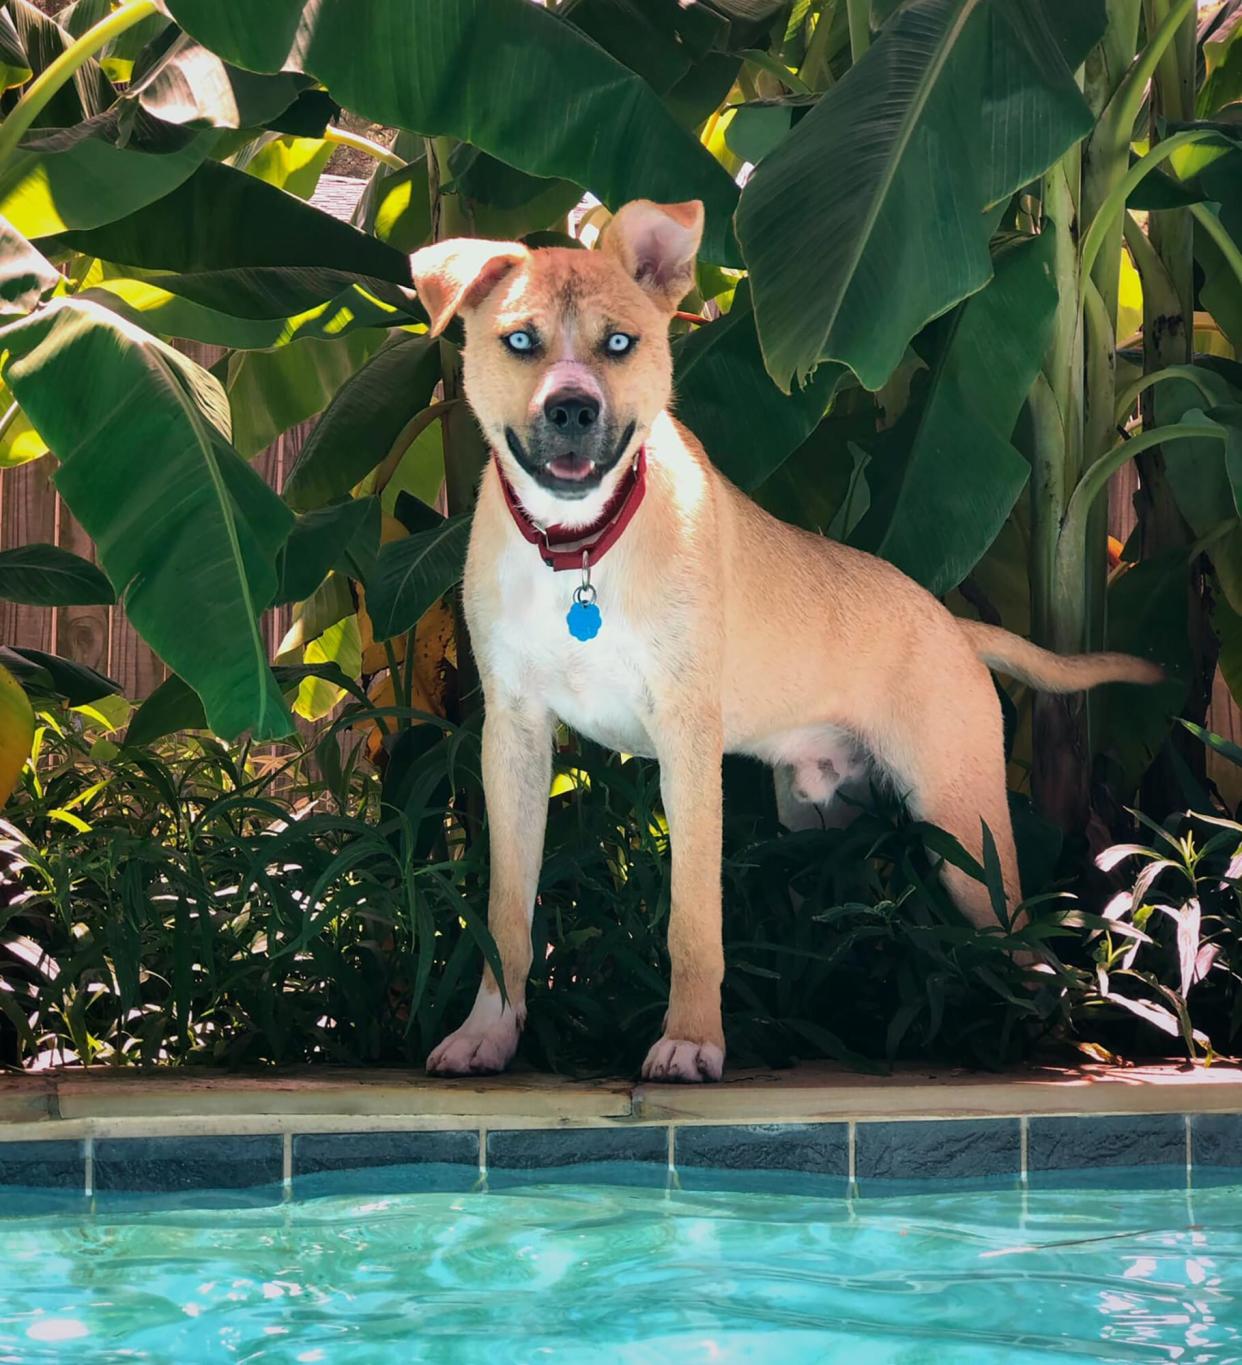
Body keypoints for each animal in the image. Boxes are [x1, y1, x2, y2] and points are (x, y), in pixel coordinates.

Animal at [412, 199, 1168, 1086]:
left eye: (620, 343)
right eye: (521, 341)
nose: (572, 409)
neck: (582, 551)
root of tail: (951, 622)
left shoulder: (687, 745)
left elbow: (694, 919)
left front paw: (692, 1039)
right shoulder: (515, 738)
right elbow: (505, 914)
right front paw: (489, 1031)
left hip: (963, 825)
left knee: (1023, 944)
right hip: (822, 821)